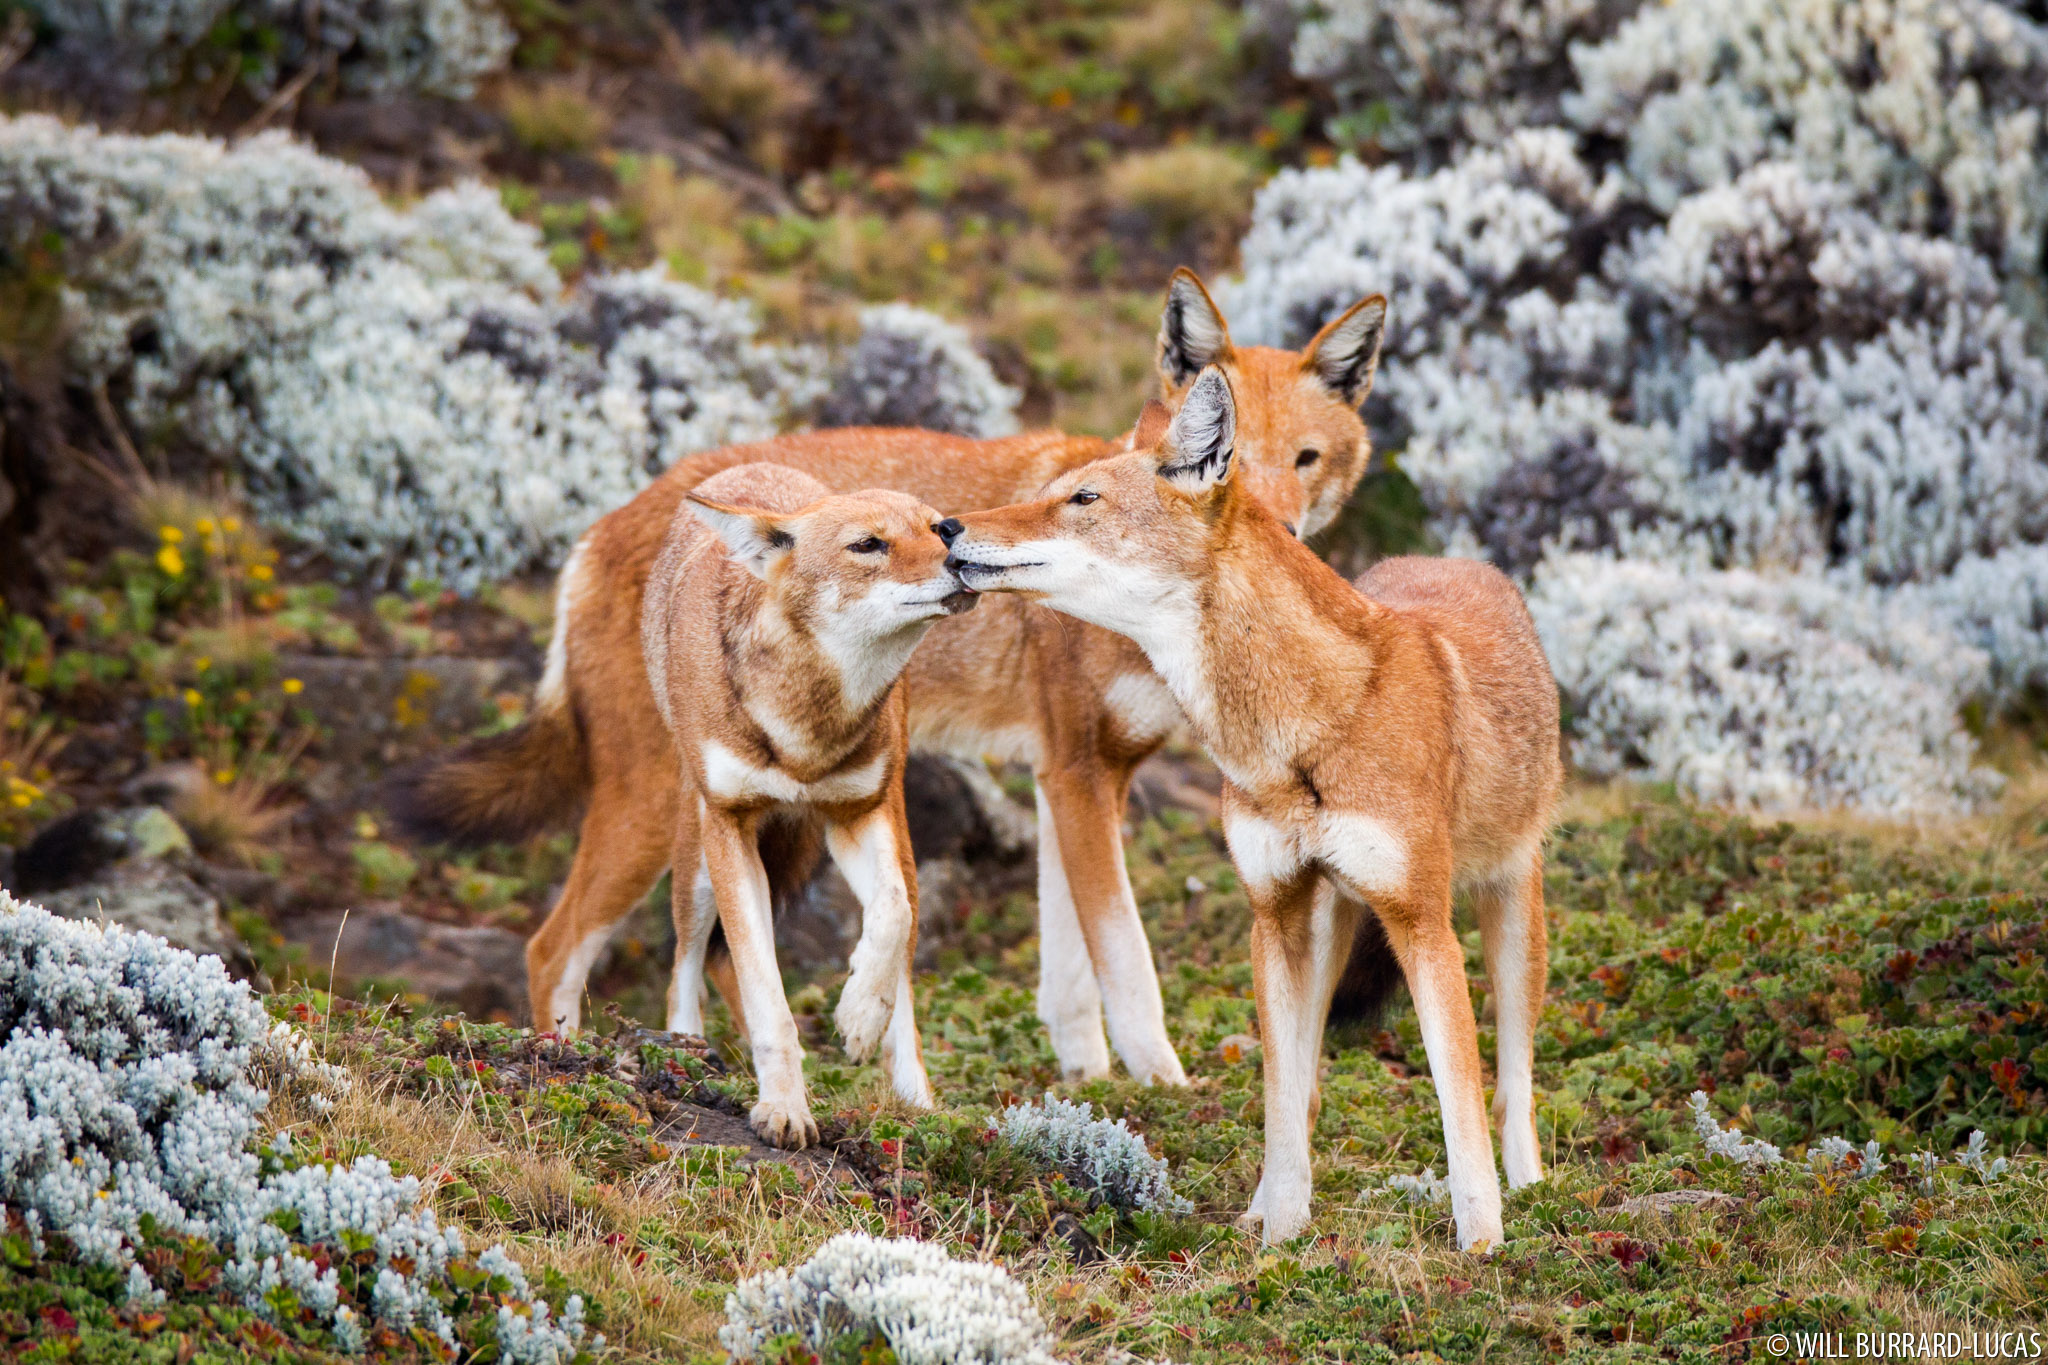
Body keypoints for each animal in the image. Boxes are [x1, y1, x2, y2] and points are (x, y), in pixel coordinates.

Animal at [387, 272, 1392, 1096]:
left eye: (1306, 459)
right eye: (1230, 455)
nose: (1276, 535)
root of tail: (602, 525)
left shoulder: (1075, 778)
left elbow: (1069, 971)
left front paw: (1086, 1082)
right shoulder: (1076, 773)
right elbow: (1129, 965)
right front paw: (1165, 1091)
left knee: (719, 958)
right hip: (651, 816)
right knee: (552, 949)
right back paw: (569, 1059)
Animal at [946, 370, 1564, 1252]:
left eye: (1082, 497)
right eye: (1053, 490)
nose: (946, 524)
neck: (1307, 732)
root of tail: (1451, 560)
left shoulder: (1422, 922)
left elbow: (1459, 1098)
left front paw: (1480, 1242)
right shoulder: (1271, 915)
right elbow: (1280, 1096)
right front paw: (1278, 1229)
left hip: (1509, 920)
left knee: (1512, 1079)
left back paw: (1532, 1187)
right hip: (1328, 924)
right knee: (1309, 1086)